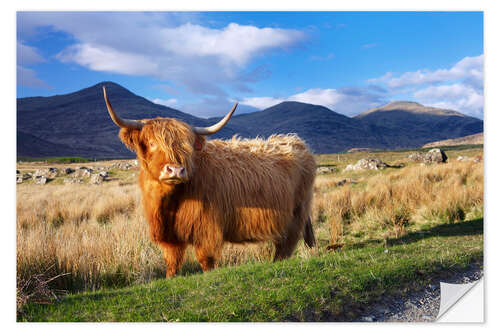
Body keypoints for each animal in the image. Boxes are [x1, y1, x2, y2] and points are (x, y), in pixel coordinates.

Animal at [102, 86, 316, 278]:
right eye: (153, 143)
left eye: (188, 146)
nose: (176, 170)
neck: (169, 202)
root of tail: (297, 143)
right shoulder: (169, 235)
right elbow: (172, 263)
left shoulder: (207, 228)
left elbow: (206, 261)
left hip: (296, 214)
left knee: (285, 247)